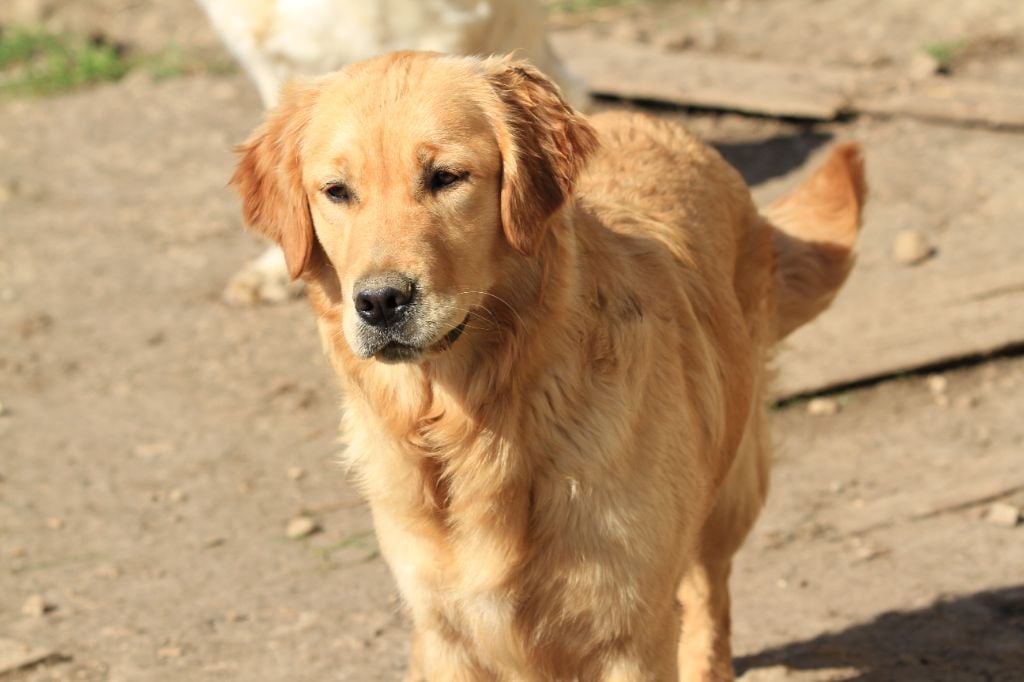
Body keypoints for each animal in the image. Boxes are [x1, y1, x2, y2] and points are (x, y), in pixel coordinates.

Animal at [230, 50, 864, 675]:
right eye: (336, 191)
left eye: (446, 177)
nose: (381, 301)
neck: (476, 425)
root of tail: (664, 124)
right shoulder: (442, 628)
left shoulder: (629, 630)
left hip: (727, 496)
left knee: (710, 603)